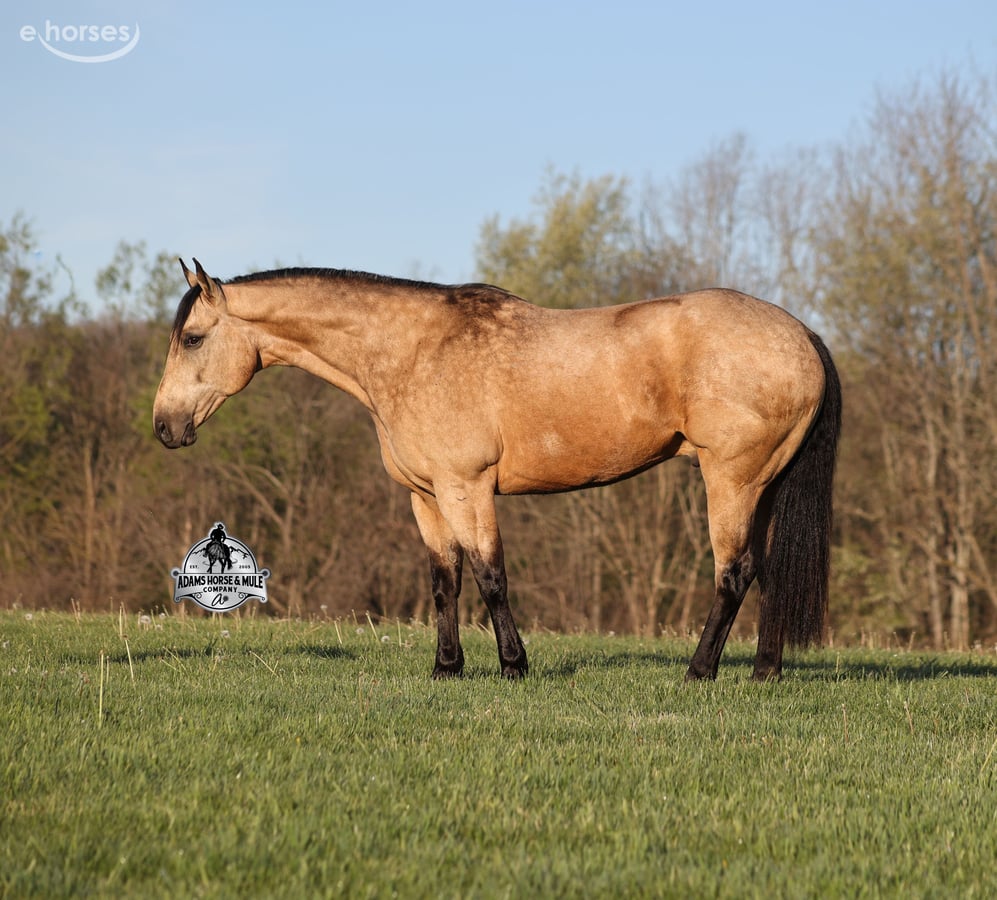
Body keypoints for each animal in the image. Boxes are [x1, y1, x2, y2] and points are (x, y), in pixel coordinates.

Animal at [154, 259, 840, 681]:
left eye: (192, 338)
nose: (164, 427)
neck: (413, 351)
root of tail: (802, 333)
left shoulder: (468, 487)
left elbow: (490, 577)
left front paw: (513, 666)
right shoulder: (427, 497)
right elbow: (445, 583)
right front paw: (446, 668)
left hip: (732, 480)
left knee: (735, 572)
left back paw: (699, 671)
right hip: (765, 485)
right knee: (767, 572)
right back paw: (765, 670)